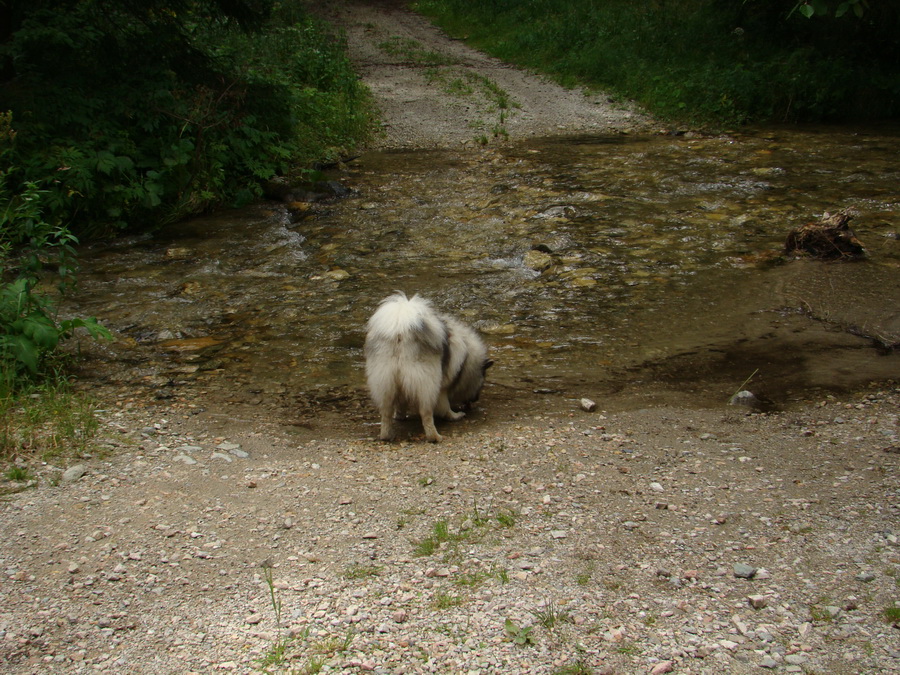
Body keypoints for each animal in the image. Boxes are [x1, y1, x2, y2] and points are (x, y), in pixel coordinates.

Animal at [364, 292, 492, 444]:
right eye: (482, 381)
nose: (475, 399)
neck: (467, 358)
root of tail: (400, 332)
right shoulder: (442, 387)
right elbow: (445, 406)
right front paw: (454, 415)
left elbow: (401, 405)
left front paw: (400, 416)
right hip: (426, 384)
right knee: (426, 414)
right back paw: (435, 437)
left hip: (385, 383)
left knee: (386, 414)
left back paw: (386, 435)